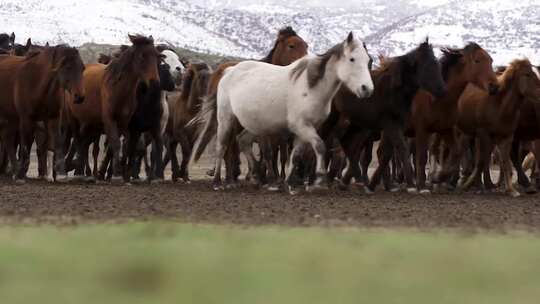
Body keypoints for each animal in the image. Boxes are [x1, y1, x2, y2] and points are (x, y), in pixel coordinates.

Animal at [0, 44, 85, 182]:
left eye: (82, 68)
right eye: (68, 67)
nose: (80, 97)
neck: (36, 82)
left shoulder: (53, 118)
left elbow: (57, 143)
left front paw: (60, 173)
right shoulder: (26, 119)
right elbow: (25, 147)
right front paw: (20, 175)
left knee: (7, 138)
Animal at [66, 35, 159, 183]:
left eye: (157, 56)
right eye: (142, 56)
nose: (154, 83)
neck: (118, 89)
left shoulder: (122, 122)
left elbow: (115, 147)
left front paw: (111, 173)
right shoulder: (109, 119)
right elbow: (115, 143)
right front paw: (116, 174)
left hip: (89, 123)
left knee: (83, 143)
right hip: (74, 119)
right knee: (78, 141)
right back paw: (78, 171)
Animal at [408, 42, 500, 192]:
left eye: (490, 61)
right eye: (477, 60)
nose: (494, 87)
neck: (436, 97)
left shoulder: (445, 129)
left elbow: (456, 152)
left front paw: (439, 177)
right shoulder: (421, 129)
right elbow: (421, 157)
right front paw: (422, 185)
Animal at [456, 59, 540, 197]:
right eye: (527, 74)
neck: (500, 105)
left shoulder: (507, 136)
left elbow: (505, 161)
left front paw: (511, 190)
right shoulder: (484, 134)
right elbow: (481, 161)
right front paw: (468, 185)